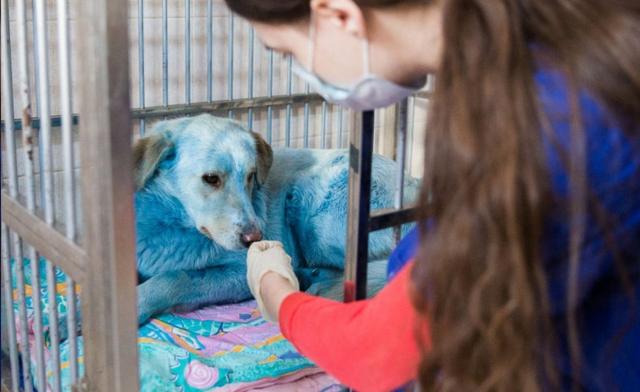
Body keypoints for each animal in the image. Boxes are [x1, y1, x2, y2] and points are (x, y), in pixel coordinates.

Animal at [134, 114, 420, 324]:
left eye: (251, 176)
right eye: (211, 178)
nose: (255, 238)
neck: (170, 224)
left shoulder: (241, 272)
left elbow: (175, 278)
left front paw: (140, 305)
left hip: (312, 203)